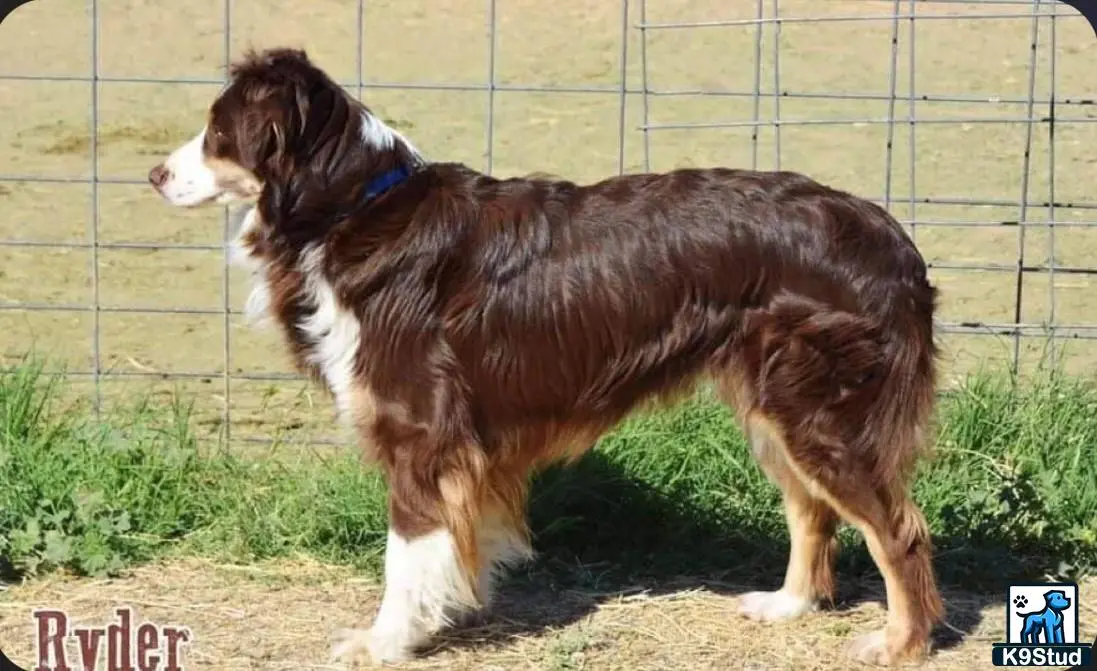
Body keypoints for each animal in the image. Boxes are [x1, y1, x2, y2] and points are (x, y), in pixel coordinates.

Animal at [148, 47, 943, 666]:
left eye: (217, 133)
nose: (154, 174)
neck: (352, 205)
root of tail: (887, 233)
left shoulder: (419, 433)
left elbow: (404, 553)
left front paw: (386, 640)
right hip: (773, 406)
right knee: (812, 512)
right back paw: (787, 604)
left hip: (820, 411)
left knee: (897, 530)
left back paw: (899, 643)